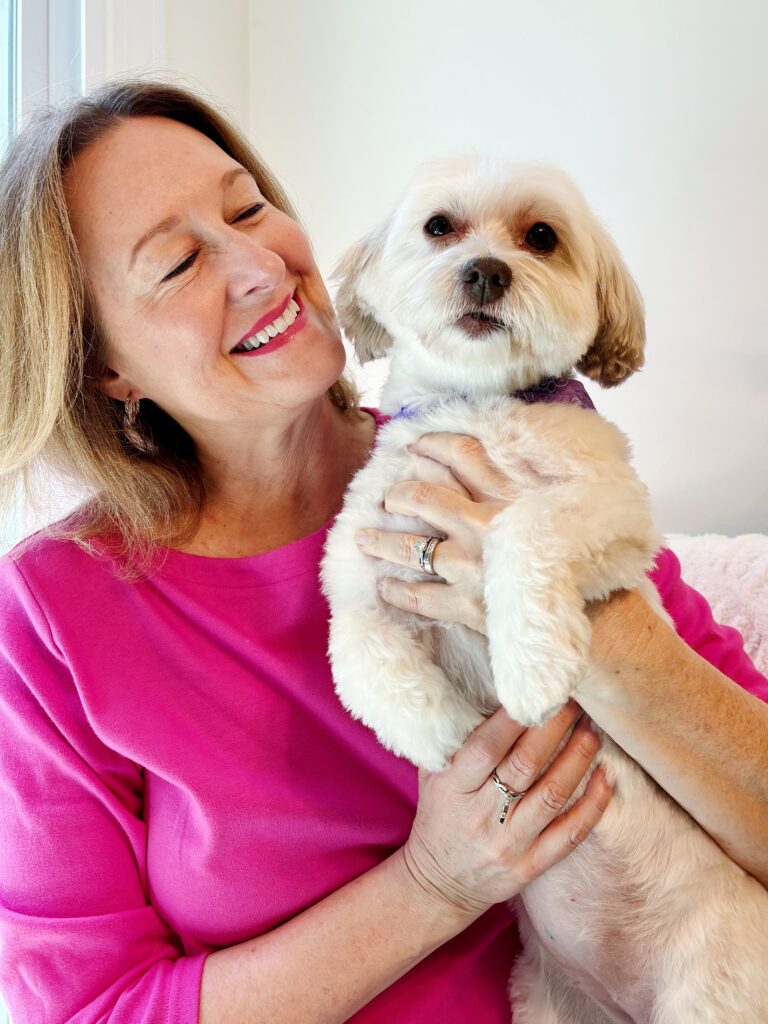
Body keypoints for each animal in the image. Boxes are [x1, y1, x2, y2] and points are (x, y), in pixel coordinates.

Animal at [319, 155, 768, 1019]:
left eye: (541, 237)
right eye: (439, 227)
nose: (486, 270)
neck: (477, 403)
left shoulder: (615, 512)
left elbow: (525, 527)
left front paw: (531, 673)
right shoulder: (360, 566)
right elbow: (356, 651)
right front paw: (444, 734)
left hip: (713, 991)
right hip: (545, 996)